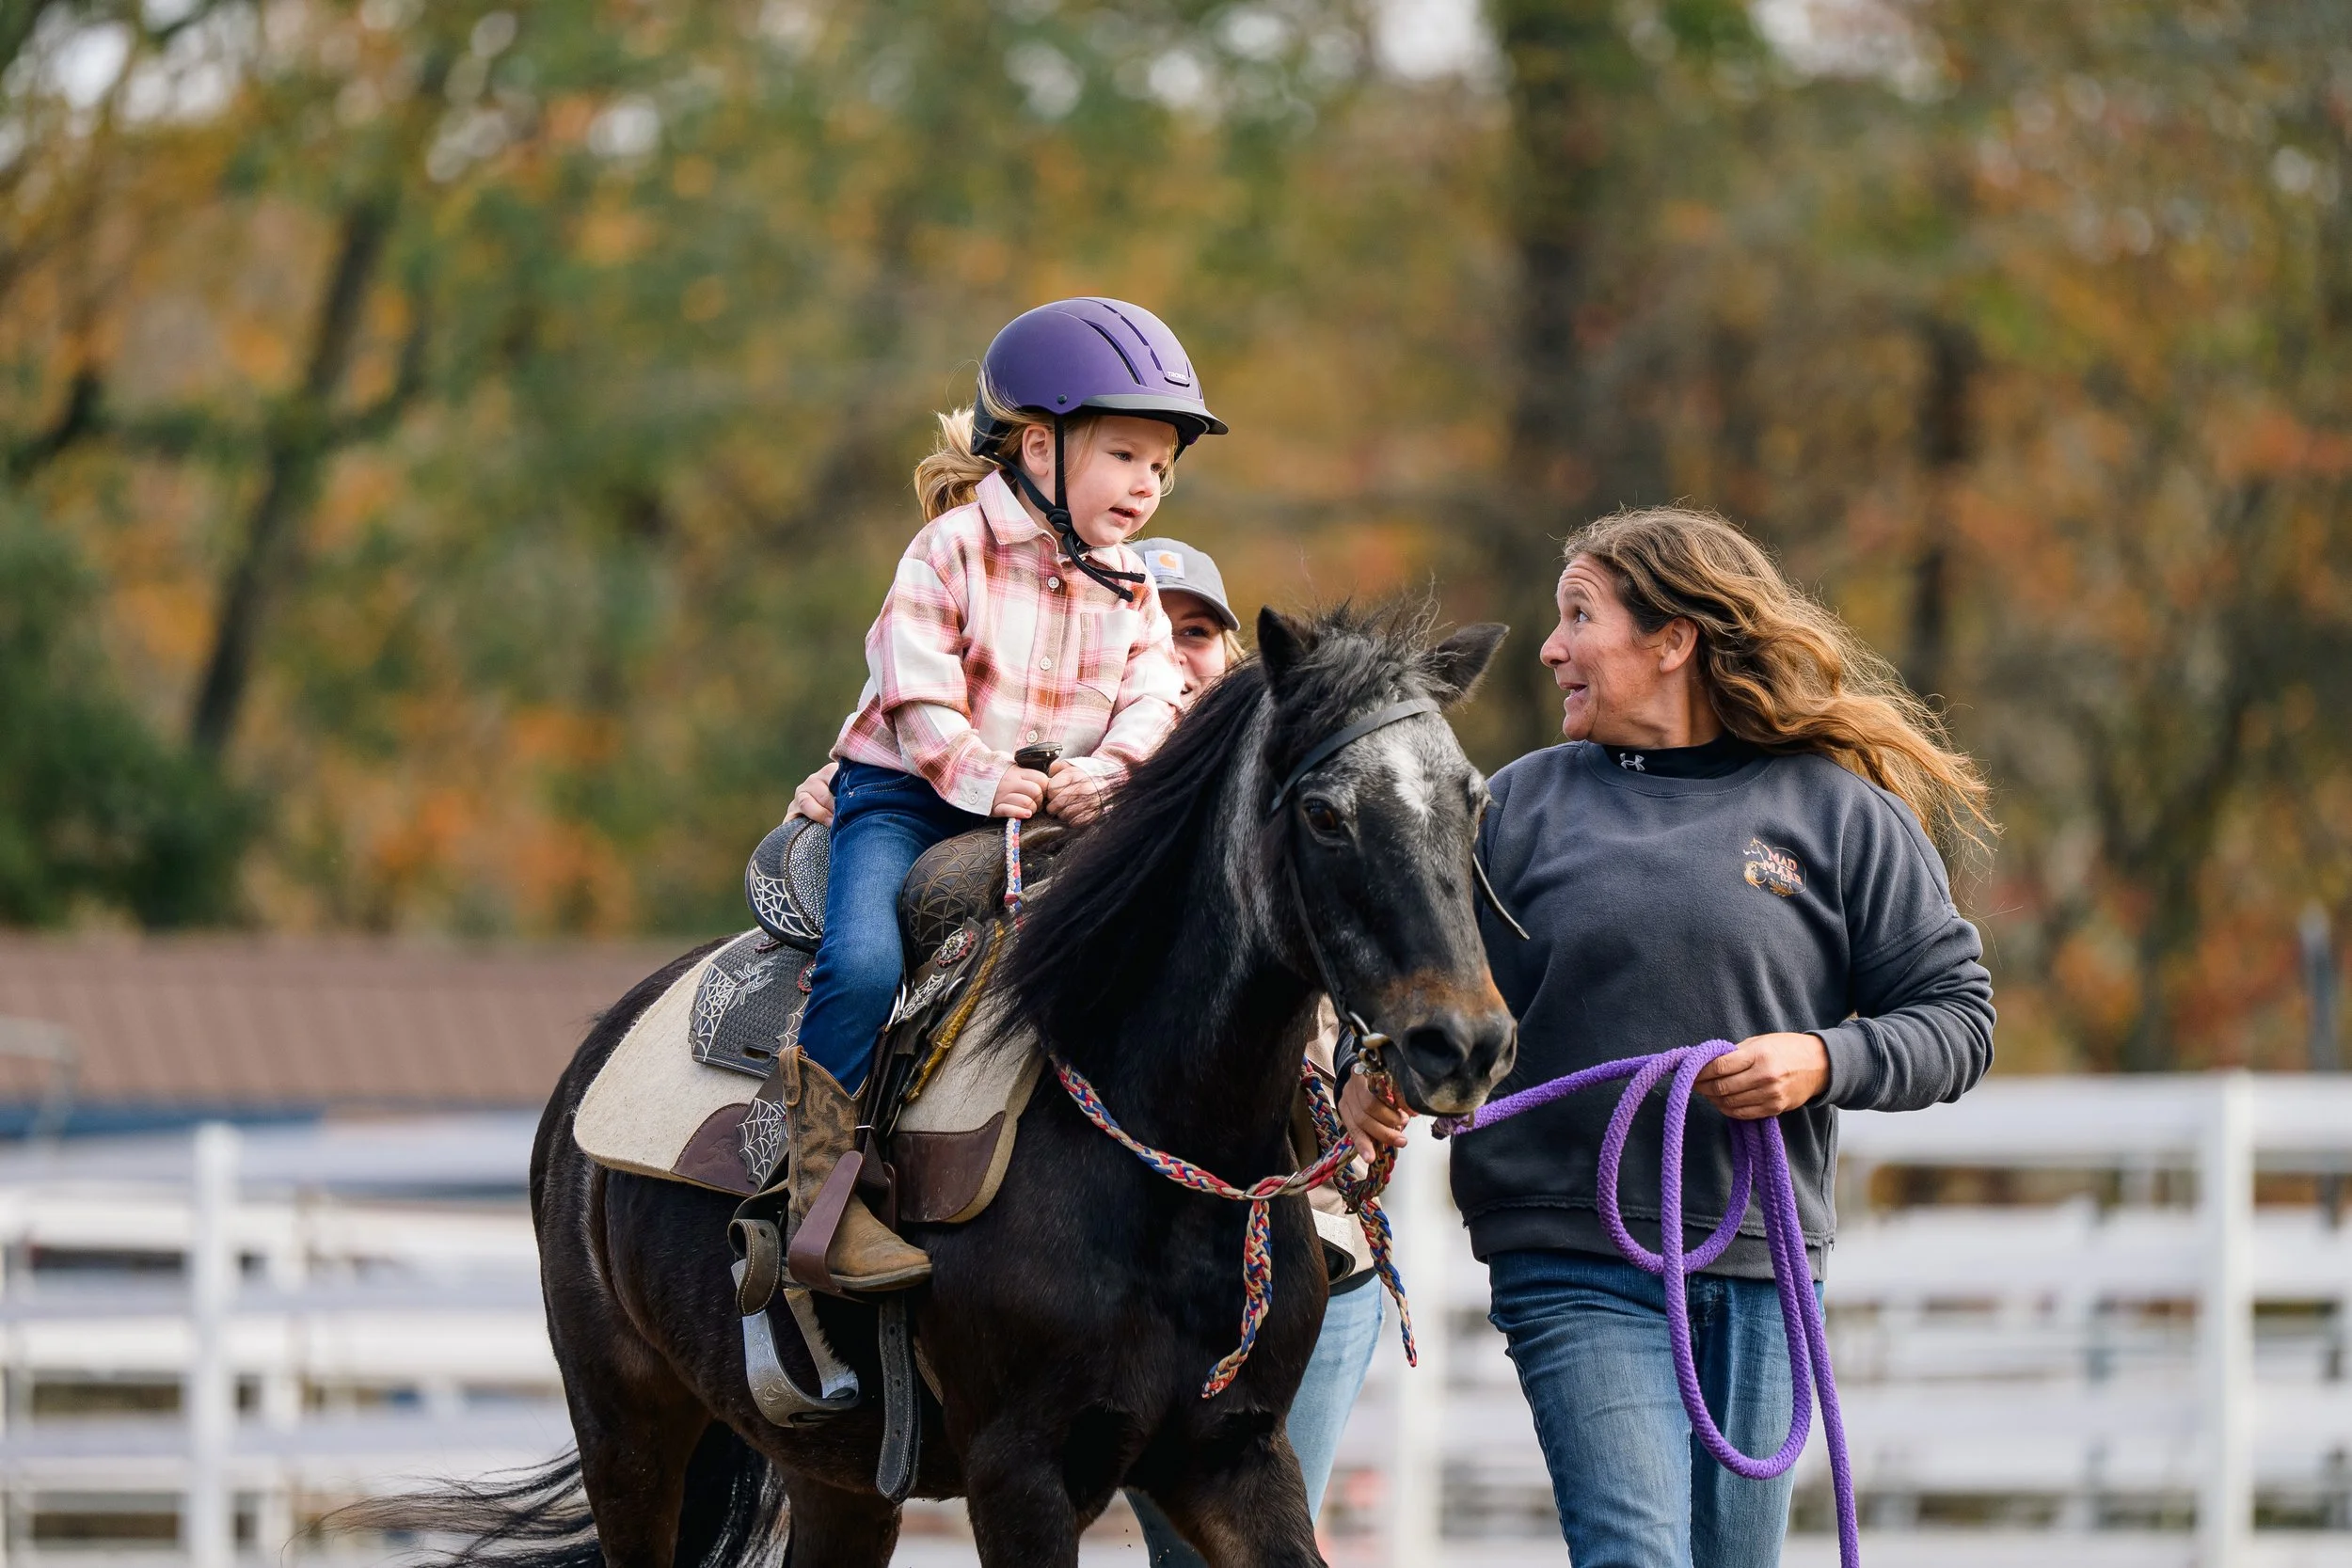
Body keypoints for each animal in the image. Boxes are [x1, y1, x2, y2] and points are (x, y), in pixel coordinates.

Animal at [388, 604, 1518, 1568]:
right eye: (1325, 813)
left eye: (1473, 801)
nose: (1463, 1041)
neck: (1153, 1147)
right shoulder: (1017, 1473)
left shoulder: (1234, 1457)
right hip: (626, 1423)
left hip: (836, 1475)